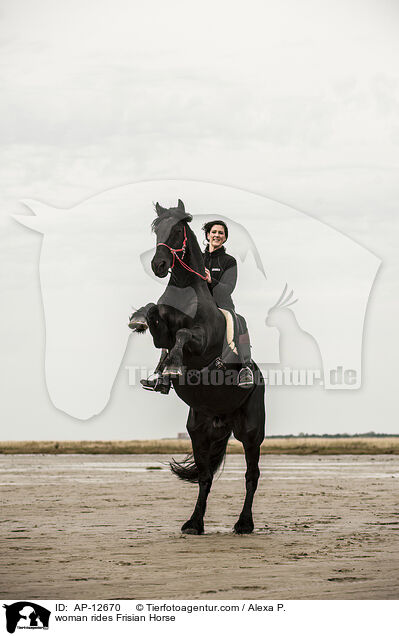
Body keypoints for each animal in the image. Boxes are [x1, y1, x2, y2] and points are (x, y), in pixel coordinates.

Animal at [129, 200, 266, 536]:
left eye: (177, 230)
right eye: (156, 229)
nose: (159, 265)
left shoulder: (201, 343)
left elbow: (183, 334)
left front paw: (173, 368)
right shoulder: (161, 334)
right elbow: (154, 313)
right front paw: (140, 321)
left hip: (251, 432)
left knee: (251, 476)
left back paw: (244, 524)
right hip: (199, 430)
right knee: (205, 477)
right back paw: (194, 523)